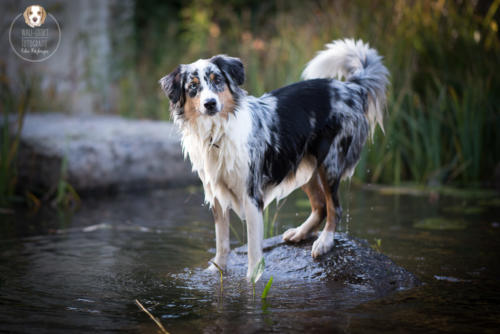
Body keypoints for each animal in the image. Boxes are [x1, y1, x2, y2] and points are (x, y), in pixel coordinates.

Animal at [160, 38, 390, 280]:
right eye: (193, 87)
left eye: (218, 81)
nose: (210, 103)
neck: (217, 133)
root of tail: (350, 88)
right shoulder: (217, 194)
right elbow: (222, 242)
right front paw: (217, 272)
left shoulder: (251, 195)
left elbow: (253, 249)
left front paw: (252, 281)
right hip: (302, 164)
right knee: (320, 205)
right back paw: (300, 233)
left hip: (329, 162)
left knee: (334, 207)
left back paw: (324, 242)